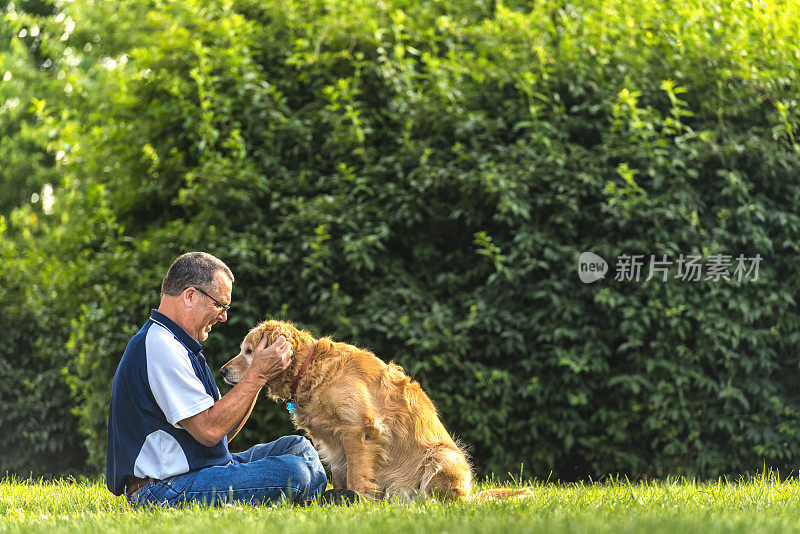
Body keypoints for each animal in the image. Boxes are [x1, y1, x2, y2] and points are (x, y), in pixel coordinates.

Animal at [219, 322, 472, 502]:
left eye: (248, 351)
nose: (222, 371)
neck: (310, 369)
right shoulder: (334, 442)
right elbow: (342, 474)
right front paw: (338, 502)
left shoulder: (358, 429)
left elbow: (356, 475)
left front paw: (358, 502)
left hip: (442, 456)